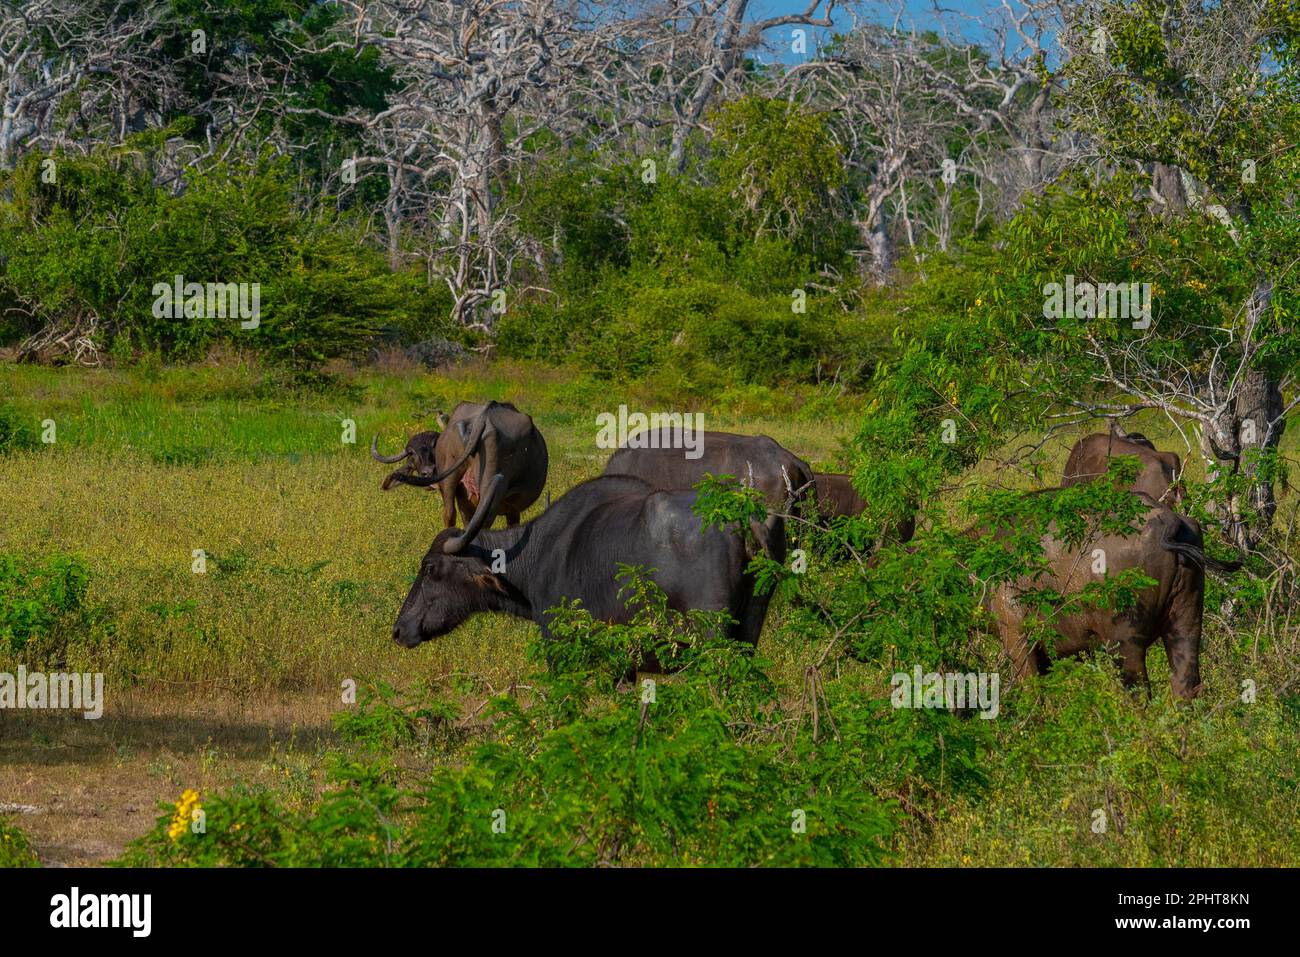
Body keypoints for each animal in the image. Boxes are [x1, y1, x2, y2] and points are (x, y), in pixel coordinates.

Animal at [379, 401, 549, 553]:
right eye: (412, 455)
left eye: (433, 447)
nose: (428, 471)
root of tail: (483, 418)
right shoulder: (513, 509)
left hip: (450, 478)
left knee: (450, 514)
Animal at [392, 475, 784, 660]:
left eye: (429, 567)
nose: (398, 630)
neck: (538, 550)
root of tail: (741, 518)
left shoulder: (562, 643)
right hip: (749, 629)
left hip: (712, 634)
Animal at [985, 491, 1238, 700]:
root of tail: (1168, 520)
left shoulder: (1016, 638)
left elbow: (1030, 691)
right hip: (1186, 621)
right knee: (1186, 683)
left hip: (1125, 642)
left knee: (1138, 691)